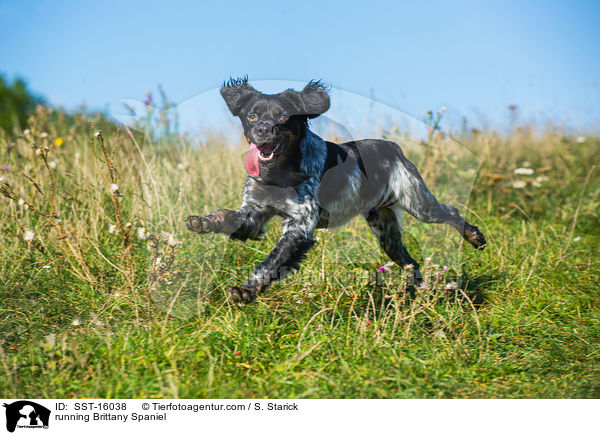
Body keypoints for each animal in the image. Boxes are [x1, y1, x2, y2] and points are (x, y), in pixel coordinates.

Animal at [185, 77, 486, 304]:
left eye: (282, 116)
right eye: (252, 115)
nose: (262, 130)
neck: (279, 174)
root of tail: (393, 147)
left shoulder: (299, 227)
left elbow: (270, 264)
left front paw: (246, 291)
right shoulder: (254, 212)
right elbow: (229, 217)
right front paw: (204, 222)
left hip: (418, 202)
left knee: (450, 212)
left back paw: (474, 237)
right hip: (386, 231)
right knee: (411, 261)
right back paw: (422, 290)